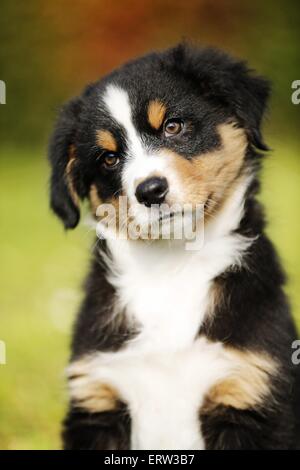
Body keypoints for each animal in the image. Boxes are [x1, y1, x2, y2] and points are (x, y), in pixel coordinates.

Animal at [48, 45, 298, 452]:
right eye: (108, 158)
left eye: (173, 126)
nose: (150, 191)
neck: (172, 265)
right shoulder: (99, 397)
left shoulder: (249, 391)